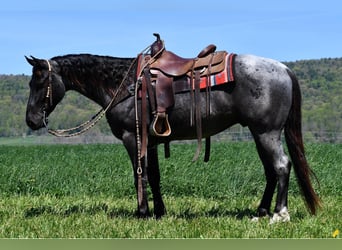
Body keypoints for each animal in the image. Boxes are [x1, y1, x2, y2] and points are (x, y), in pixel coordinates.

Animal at [24, 38, 320, 222]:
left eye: (40, 82)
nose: (32, 120)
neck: (123, 84)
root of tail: (283, 68)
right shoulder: (151, 140)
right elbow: (154, 177)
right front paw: (159, 212)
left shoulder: (133, 138)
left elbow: (140, 176)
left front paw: (142, 213)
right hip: (259, 133)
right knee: (271, 170)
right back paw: (260, 212)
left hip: (267, 132)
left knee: (281, 166)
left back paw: (279, 214)